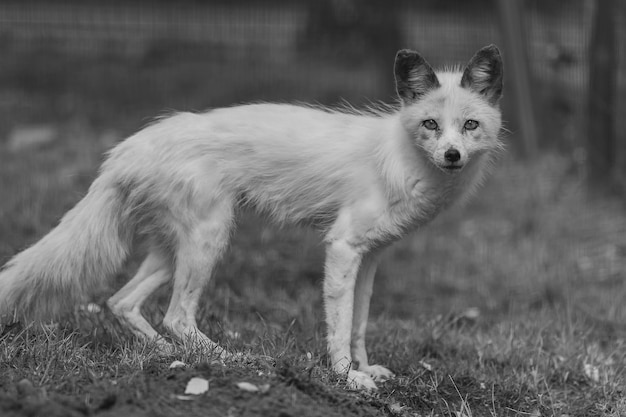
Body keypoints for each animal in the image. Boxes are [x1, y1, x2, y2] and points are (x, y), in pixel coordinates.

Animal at [0, 45, 500, 390]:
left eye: (470, 126)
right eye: (431, 125)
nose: (452, 156)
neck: (402, 160)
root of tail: (123, 150)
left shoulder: (371, 256)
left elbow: (358, 324)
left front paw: (364, 368)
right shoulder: (341, 247)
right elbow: (338, 327)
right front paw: (346, 378)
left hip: (175, 250)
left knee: (121, 302)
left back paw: (167, 358)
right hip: (211, 239)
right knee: (176, 316)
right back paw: (232, 362)